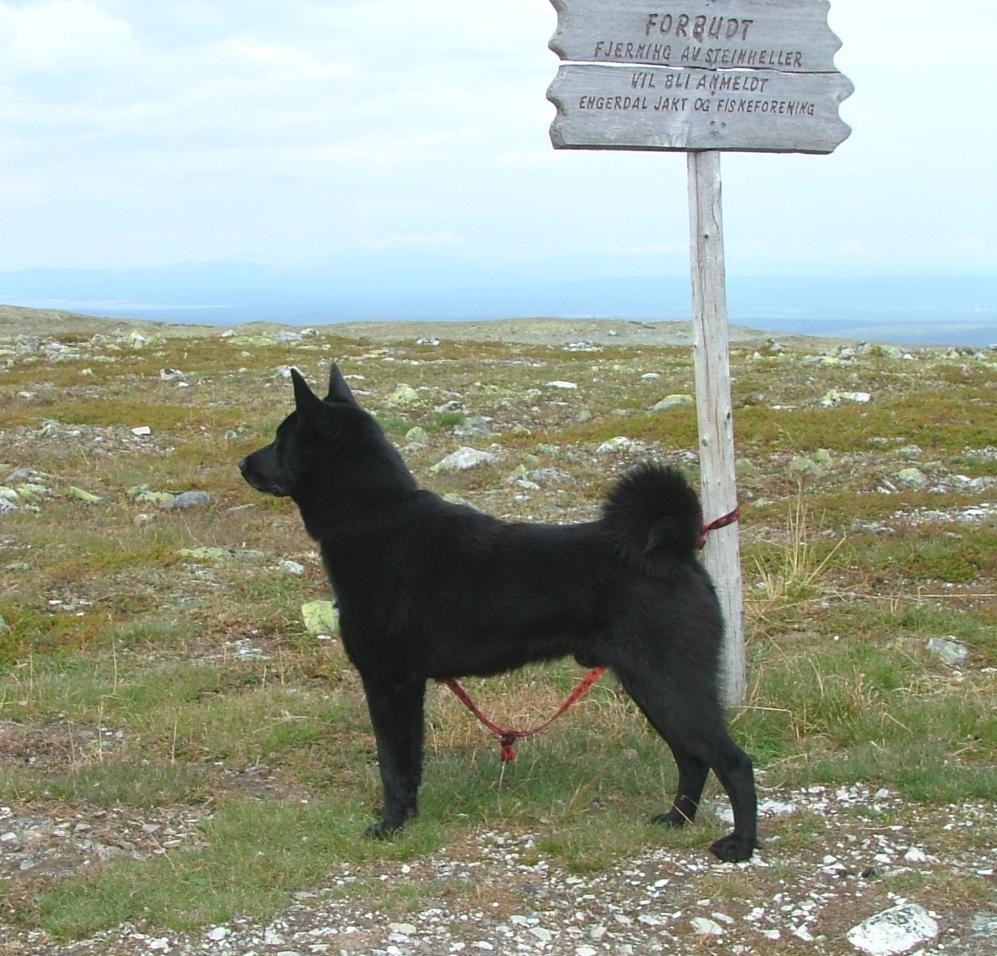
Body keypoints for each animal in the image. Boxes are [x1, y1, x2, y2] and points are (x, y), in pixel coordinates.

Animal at [241, 362, 756, 864]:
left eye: (281, 438)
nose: (243, 463)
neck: (373, 516)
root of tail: (674, 549)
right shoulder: (406, 684)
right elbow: (409, 762)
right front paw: (407, 818)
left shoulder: (389, 681)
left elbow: (394, 763)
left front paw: (390, 825)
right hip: (651, 686)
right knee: (693, 759)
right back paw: (676, 820)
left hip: (667, 683)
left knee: (732, 761)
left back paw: (741, 845)